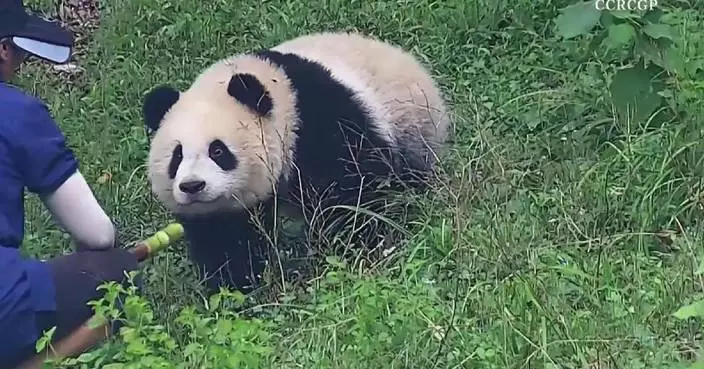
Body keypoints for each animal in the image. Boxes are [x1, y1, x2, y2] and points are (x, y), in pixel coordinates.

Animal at [143, 30, 452, 294]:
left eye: (218, 150)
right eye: (177, 155)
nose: (192, 186)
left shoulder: (325, 124)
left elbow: (351, 192)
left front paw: (355, 249)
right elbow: (225, 241)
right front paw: (234, 287)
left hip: (412, 130)